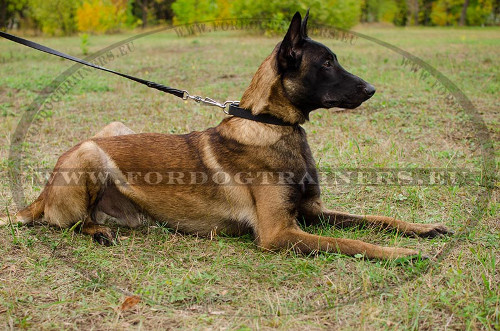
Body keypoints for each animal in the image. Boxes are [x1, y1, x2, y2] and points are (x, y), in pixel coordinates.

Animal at [0, 11, 454, 260]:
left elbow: (376, 220)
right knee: (69, 223)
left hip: (114, 129)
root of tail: (42, 193)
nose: (372, 89)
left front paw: (421, 229)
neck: (271, 124)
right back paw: (97, 233)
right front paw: (403, 254)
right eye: (326, 63)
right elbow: (352, 244)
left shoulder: (312, 213)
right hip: (90, 153)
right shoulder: (279, 233)